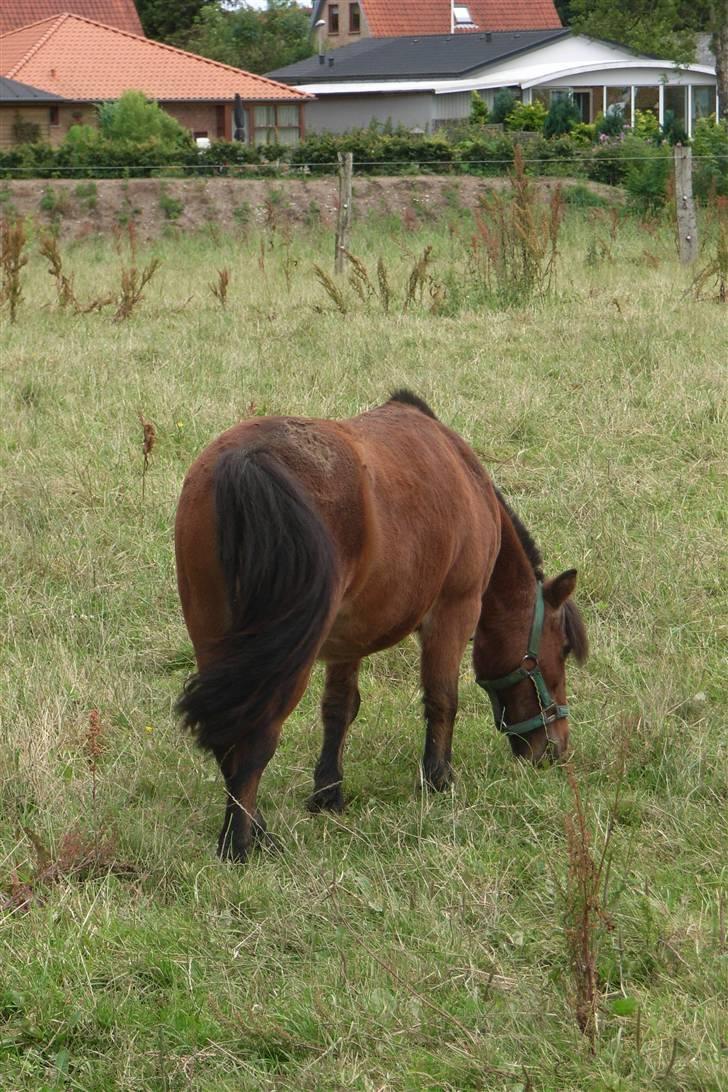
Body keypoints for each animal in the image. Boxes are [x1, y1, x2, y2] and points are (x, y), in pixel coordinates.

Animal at [177, 393, 593, 860]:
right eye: (561, 650)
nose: (556, 748)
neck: (465, 473)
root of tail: (246, 463)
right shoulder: (455, 609)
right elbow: (442, 698)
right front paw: (437, 779)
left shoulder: (347, 638)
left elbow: (338, 708)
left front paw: (328, 793)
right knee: (257, 737)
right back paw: (239, 843)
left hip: (217, 642)